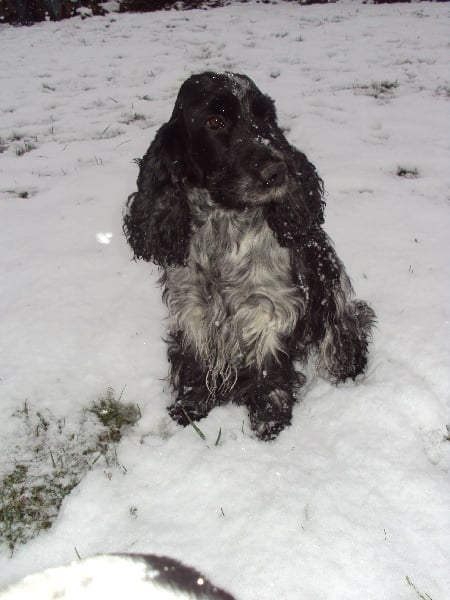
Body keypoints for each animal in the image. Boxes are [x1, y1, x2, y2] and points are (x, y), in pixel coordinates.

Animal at [122, 74, 372, 440]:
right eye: (215, 121)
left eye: (266, 117)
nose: (277, 171)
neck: (223, 225)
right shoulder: (192, 307)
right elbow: (195, 360)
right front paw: (190, 408)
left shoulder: (269, 308)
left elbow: (269, 370)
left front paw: (270, 422)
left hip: (334, 302)